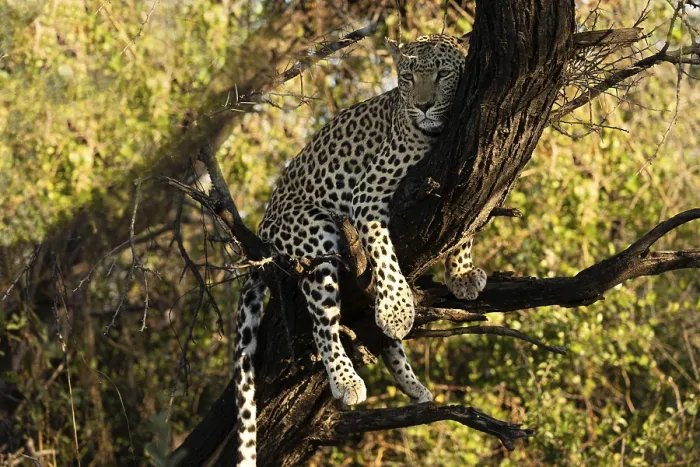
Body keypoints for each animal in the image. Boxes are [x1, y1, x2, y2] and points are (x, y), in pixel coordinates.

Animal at [232, 34, 487, 466]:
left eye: (442, 73)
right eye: (407, 77)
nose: (423, 105)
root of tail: (264, 228)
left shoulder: (465, 173)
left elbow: (466, 217)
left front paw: (462, 273)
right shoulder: (368, 196)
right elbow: (384, 256)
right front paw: (398, 309)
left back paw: (412, 384)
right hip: (315, 236)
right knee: (323, 323)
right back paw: (347, 380)